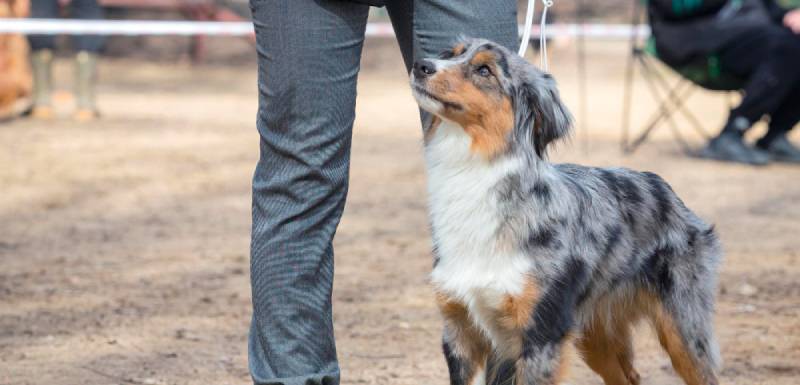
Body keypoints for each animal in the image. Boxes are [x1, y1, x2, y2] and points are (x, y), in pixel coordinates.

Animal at [410, 38, 720, 384]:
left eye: (484, 70)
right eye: (452, 54)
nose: (421, 65)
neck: (474, 177)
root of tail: (662, 186)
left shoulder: (541, 332)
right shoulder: (461, 331)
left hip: (683, 328)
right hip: (597, 336)